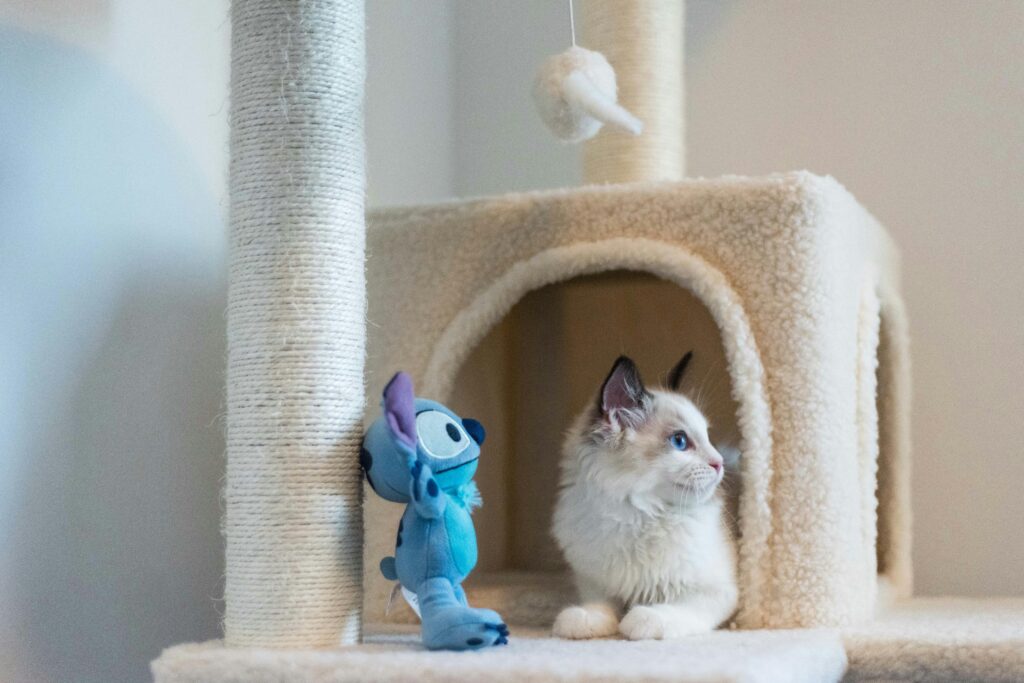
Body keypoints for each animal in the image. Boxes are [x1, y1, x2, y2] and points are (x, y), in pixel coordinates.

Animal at [552, 356, 737, 638]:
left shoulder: (718, 591)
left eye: (709, 438)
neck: (640, 515)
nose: (719, 463)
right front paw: (583, 620)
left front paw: (642, 620)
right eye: (680, 441)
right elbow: (601, 605)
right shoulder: (594, 581)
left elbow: (675, 609)